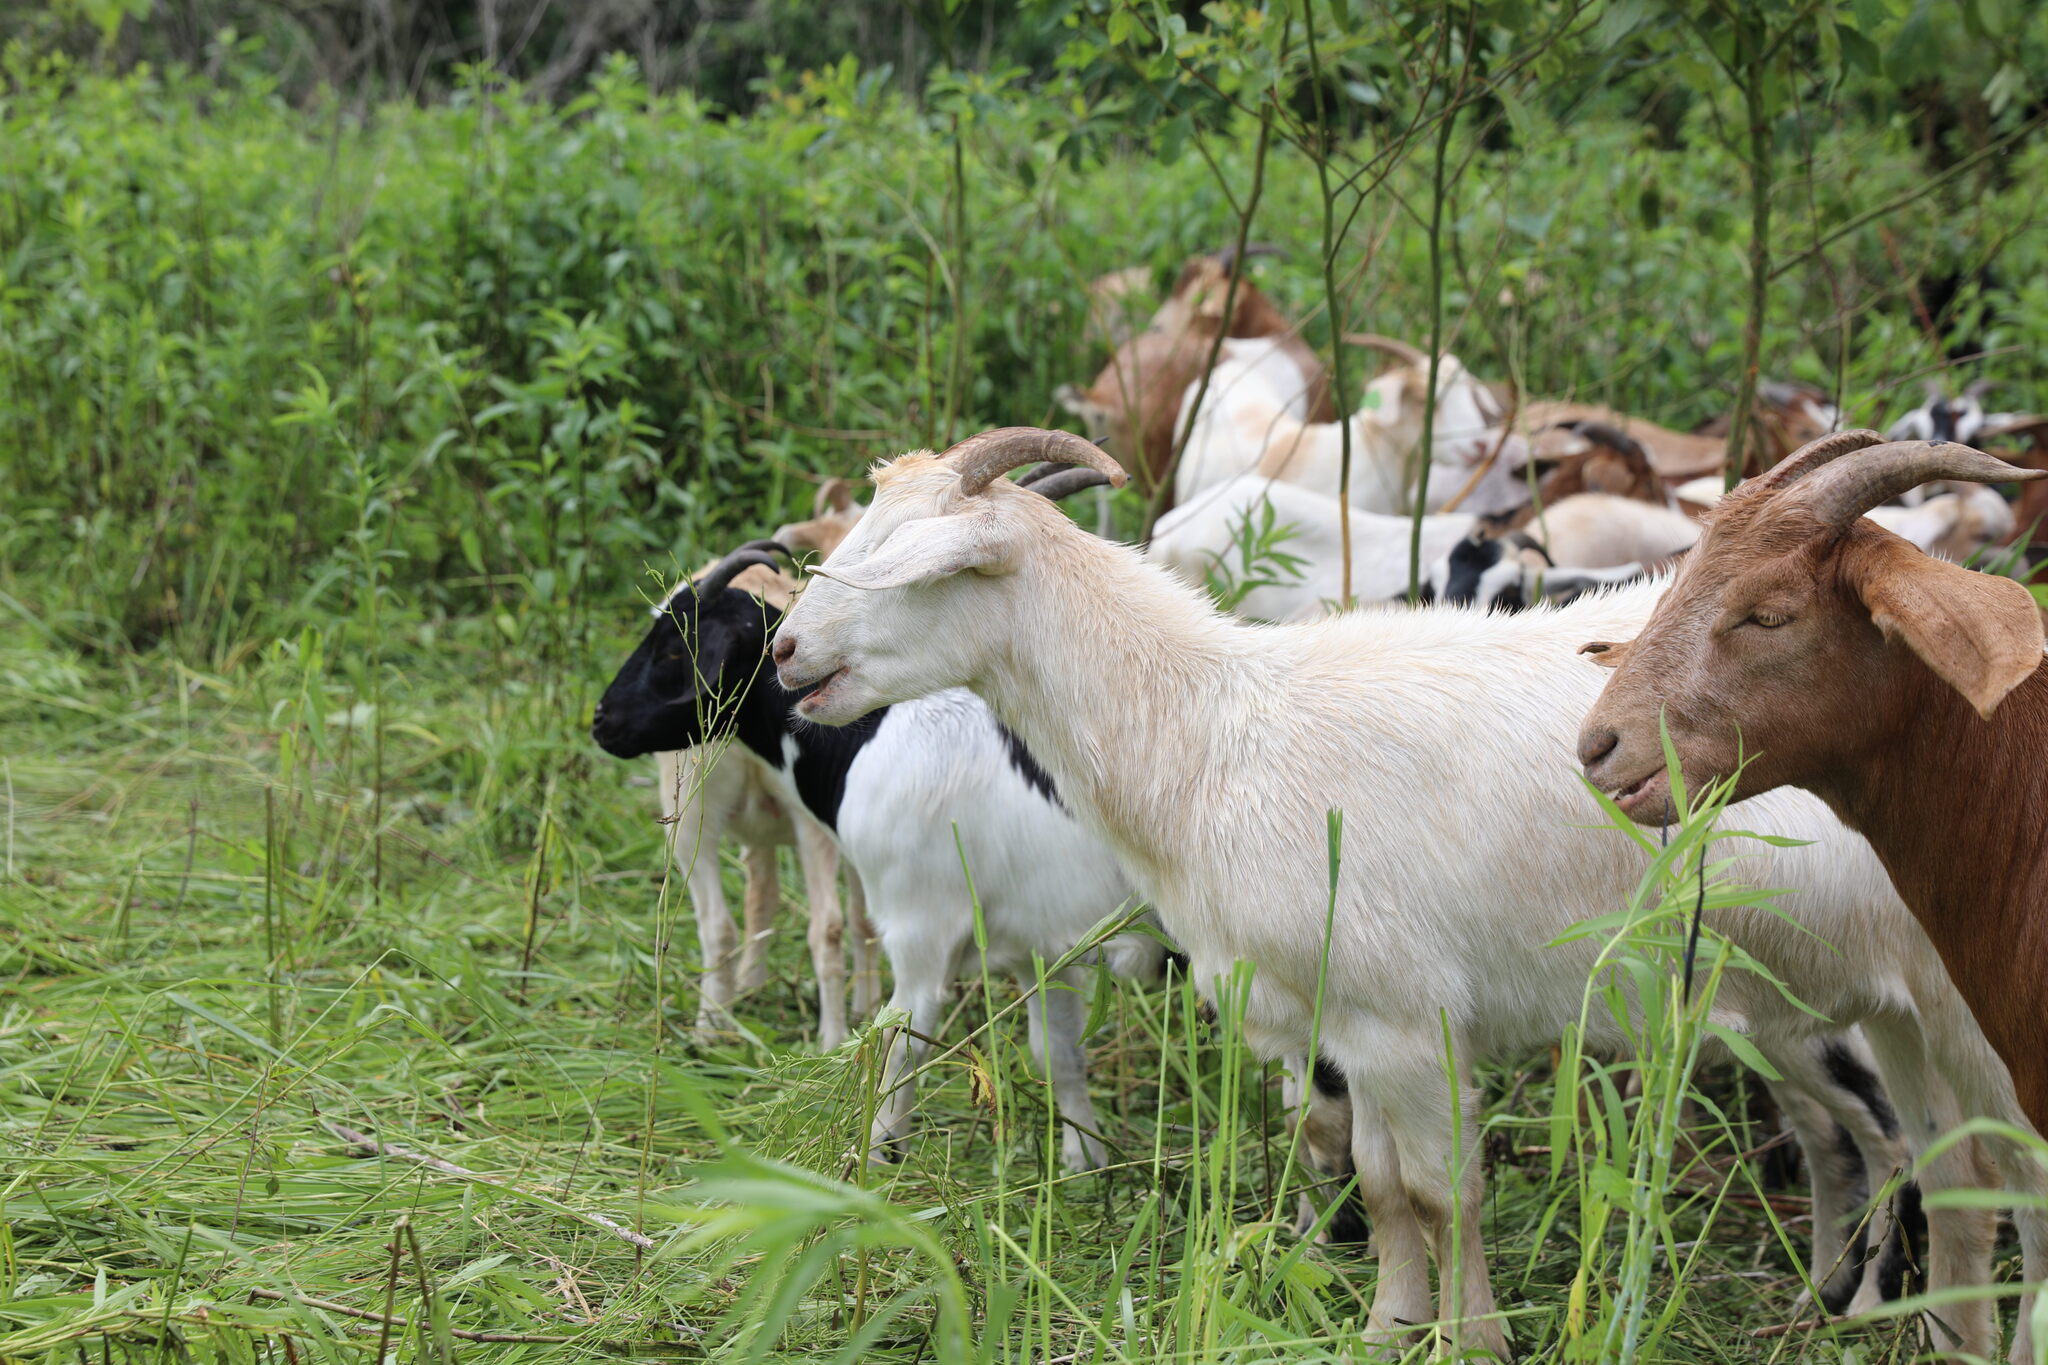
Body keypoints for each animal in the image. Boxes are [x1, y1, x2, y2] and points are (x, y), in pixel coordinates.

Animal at [593, 540, 1156, 1172]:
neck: (871, 742)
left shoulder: (919, 932)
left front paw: (878, 1154)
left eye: (673, 646)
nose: (602, 721)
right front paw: (1085, 1162)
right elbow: (1058, 1054)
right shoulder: (1039, 947)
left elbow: (900, 1045)